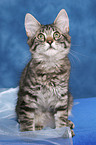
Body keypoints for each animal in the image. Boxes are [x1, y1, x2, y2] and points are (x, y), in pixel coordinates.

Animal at [15, 9, 74, 137]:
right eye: (41, 36)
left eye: (56, 34)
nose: (50, 41)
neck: (50, 66)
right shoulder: (28, 97)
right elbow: (27, 121)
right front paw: (28, 136)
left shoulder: (62, 96)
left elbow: (61, 118)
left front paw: (63, 132)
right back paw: (38, 126)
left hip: (69, 98)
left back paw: (69, 125)